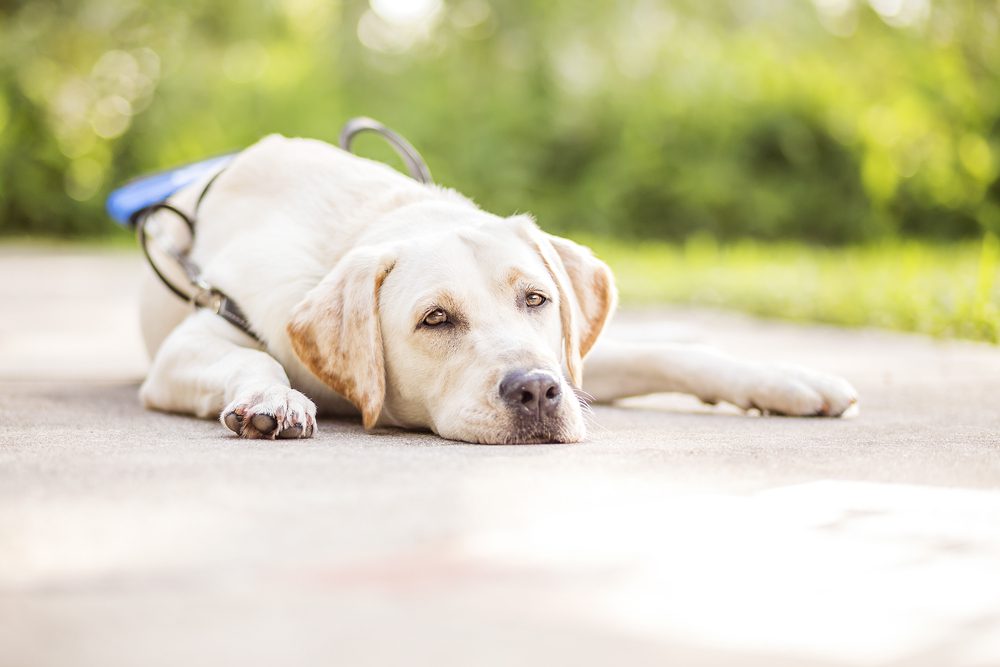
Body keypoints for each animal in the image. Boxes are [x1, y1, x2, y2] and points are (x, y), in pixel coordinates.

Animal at [139, 135, 860, 444]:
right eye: (435, 319)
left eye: (536, 299)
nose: (537, 390)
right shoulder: (200, 335)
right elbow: (252, 357)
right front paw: (273, 397)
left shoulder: (571, 355)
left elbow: (676, 353)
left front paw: (786, 379)